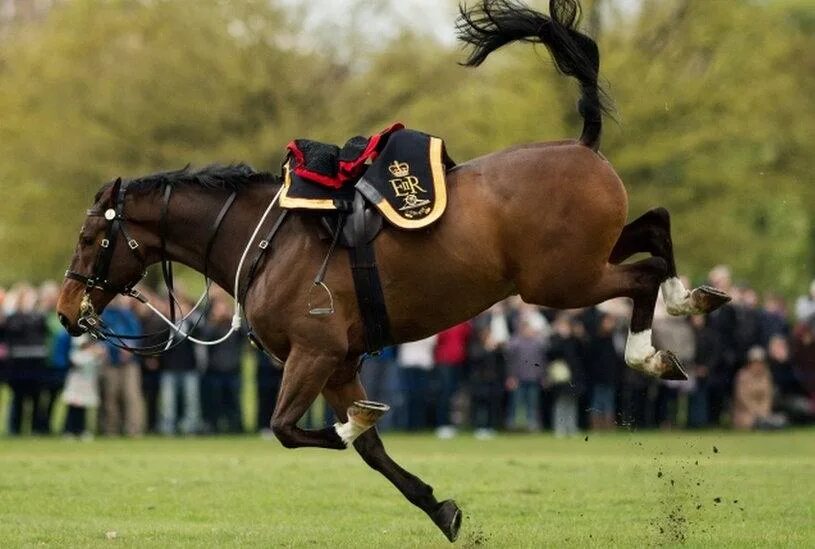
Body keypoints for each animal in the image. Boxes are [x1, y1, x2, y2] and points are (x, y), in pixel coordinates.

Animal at [59, 0, 732, 540]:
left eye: (91, 237)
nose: (66, 313)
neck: (271, 241)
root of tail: (582, 144)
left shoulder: (315, 352)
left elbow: (297, 429)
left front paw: (356, 425)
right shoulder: (339, 362)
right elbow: (371, 451)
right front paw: (439, 507)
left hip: (562, 282)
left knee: (644, 274)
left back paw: (654, 344)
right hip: (586, 259)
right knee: (655, 228)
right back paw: (689, 299)